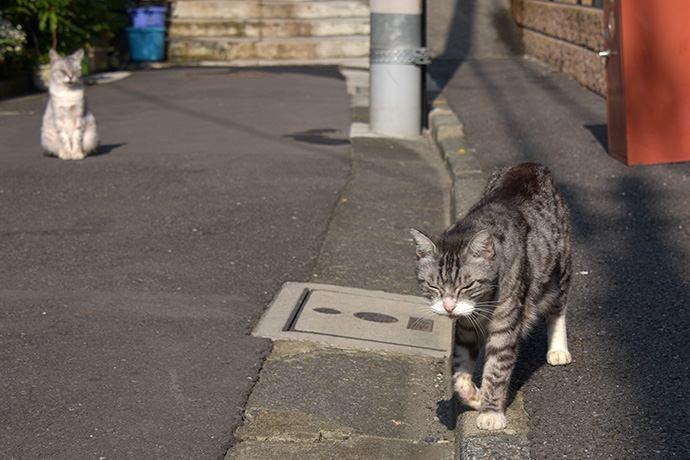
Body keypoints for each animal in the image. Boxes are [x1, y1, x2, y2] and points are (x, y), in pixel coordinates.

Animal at [408, 163, 568, 432]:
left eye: (468, 285)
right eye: (433, 286)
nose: (449, 307)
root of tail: (530, 164)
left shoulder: (505, 327)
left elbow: (496, 371)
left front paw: (491, 411)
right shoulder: (465, 328)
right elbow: (458, 370)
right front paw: (475, 396)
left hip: (559, 269)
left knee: (558, 308)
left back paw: (558, 349)